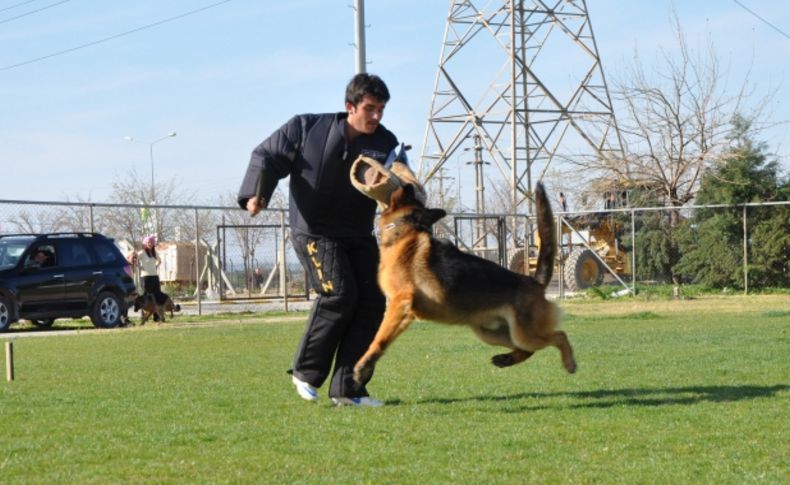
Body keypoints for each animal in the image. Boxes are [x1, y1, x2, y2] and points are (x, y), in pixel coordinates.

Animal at [356, 182, 580, 386]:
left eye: (412, 197)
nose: (409, 184)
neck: (405, 229)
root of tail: (534, 281)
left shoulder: (399, 302)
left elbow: (379, 338)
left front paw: (363, 365)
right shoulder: (405, 312)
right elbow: (385, 340)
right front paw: (368, 367)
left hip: (523, 334)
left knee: (559, 336)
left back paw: (569, 363)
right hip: (491, 334)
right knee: (528, 349)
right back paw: (506, 359)